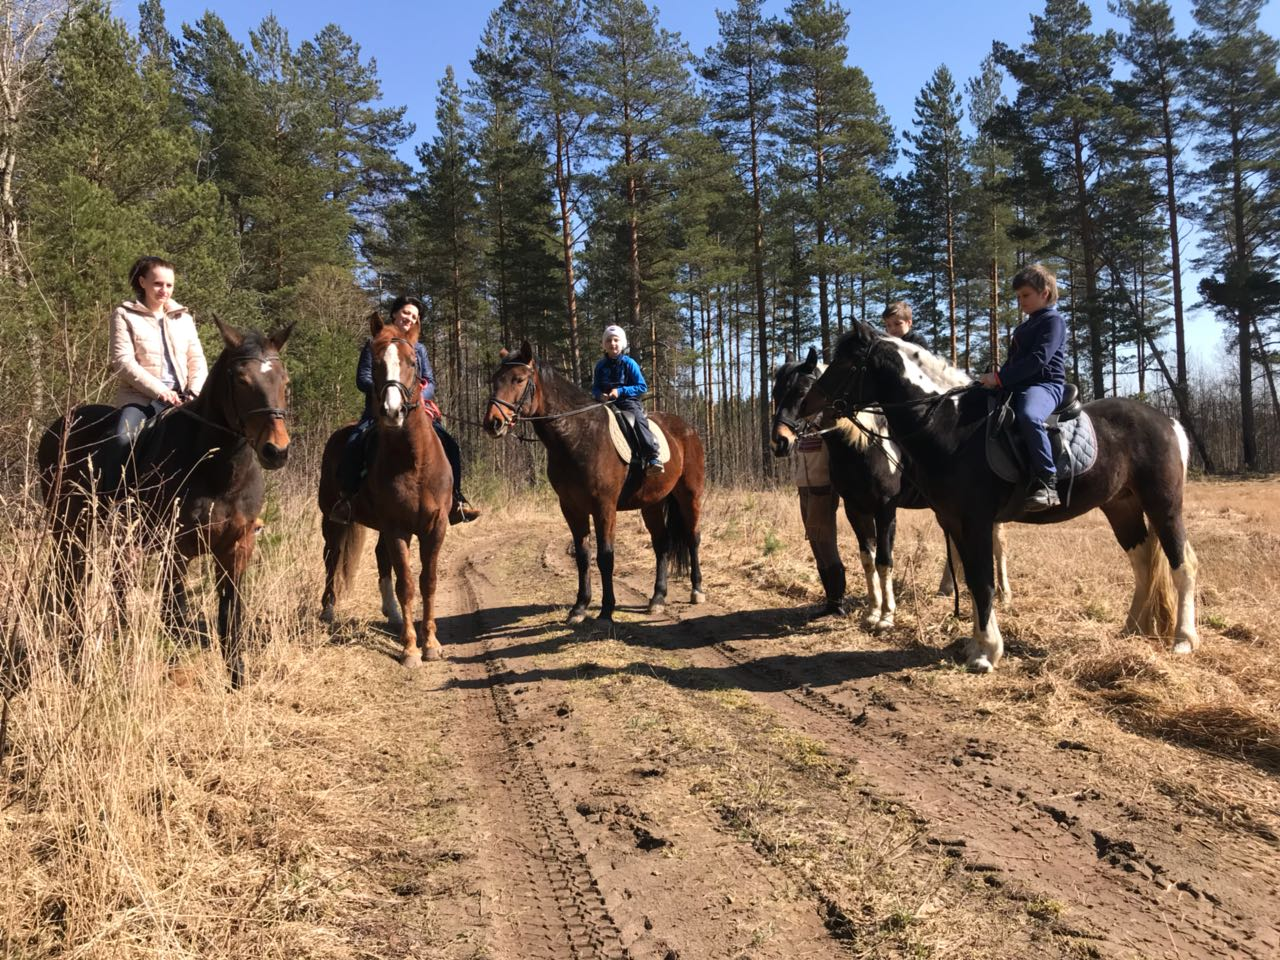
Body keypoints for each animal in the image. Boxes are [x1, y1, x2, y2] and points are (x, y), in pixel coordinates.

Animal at [38, 313, 293, 686]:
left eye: (284, 380)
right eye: (241, 380)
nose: (276, 451)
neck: (219, 470)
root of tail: (57, 427)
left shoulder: (237, 547)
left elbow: (231, 615)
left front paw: (237, 679)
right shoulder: (177, 550)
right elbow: (175, 615)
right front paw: (176, 673)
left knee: (115, 581)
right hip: (69, 529)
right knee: (70, 581)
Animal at [317, 316, 453, 670]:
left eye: (412, 362)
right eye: (377, 363)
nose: (393, 411)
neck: (413, 460)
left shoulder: (435, 527)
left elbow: (428, 581)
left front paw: (431, 643)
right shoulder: (397, 528)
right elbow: (407, 583)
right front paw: (410, 649)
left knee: (380, 557)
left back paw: (391, 612)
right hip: (331, 520)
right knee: (331, 558)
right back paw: (328, 609)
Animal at [481, 343, 706, 627]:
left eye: (519, 379)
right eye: (494, 380)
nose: (493, 423)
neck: (578, 435)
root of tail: (688, 428)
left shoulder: (604, 507)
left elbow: (605, 556)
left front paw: (606, 610)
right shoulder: (571, 507)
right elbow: (583, 556)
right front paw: (579, 607)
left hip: (690, 494)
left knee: (693, 537)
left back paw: (697, 590)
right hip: (652, 504)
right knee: (661, 544)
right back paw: (657, 598)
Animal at [768, 348, 1008, 632]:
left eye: (803, 391)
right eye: (776, 392)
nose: (780, 442)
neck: (863, 444)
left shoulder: (885, 509)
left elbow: (884, 560)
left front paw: (886, 616)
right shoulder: (855, 509)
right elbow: (867, 559)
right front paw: (872, 612)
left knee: (998, 543)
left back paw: (1004, 594)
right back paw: (947, 588)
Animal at [798, 323, 1198, 675]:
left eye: (848, 363)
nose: (806, 409)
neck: (951, 426)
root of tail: (1169, 423)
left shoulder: (971, 520)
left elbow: (983, 581)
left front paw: (987, 653)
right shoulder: (955, 521)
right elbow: (974, 580)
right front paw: (977, 645)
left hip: (1163, 505)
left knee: (1183, 564)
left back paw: (1183, 640)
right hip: (1121, 505)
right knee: (1143, 561)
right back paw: (1131, 629)